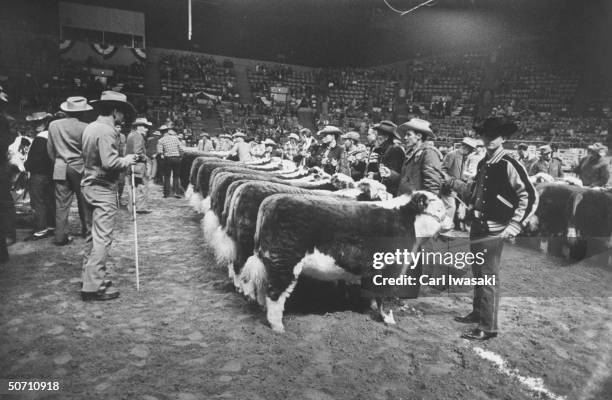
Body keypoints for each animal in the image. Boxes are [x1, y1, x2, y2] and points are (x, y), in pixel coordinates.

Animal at [239, 191, 454, 332]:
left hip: (270, 260)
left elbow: (373, 292)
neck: (408, 221)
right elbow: (385, 297)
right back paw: (278, 326)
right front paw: (388, 320)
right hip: (285, 261)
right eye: (440, 208)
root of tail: (270, 201)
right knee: (275, 293)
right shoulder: (391, 268)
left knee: (263, 287)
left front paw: (372, 309)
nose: (452, 222)